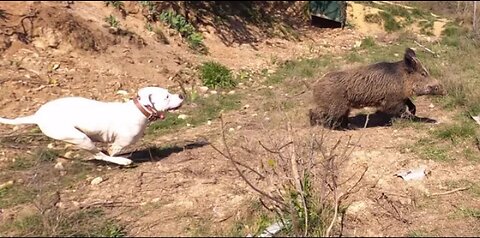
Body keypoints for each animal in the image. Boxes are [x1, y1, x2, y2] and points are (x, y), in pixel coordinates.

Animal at [0, 87, 185, 165]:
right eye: (167, 96)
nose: (182, 95)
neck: (139, 110)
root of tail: (38, 116)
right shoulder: (120, 142)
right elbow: (112, 150)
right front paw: (119, 156)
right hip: (79, 137)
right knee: (99, 156)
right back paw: (122, 161)